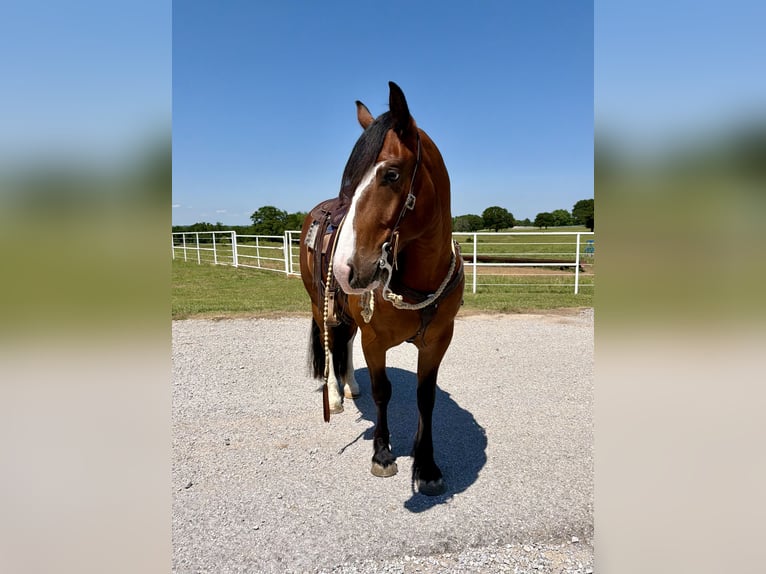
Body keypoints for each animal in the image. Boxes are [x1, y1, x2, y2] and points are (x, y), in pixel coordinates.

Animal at [299, 81, 464, 496]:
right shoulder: (375, 342)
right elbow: (382, 392)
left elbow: (425, 397)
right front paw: (383, 454)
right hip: (319, 305)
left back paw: (350, 386)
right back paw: (336, 397)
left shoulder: (438, 341)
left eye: (391, 174)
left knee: (344, 343)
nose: (346, 268)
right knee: (331, 343)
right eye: (350, 180)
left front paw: (427, 465)